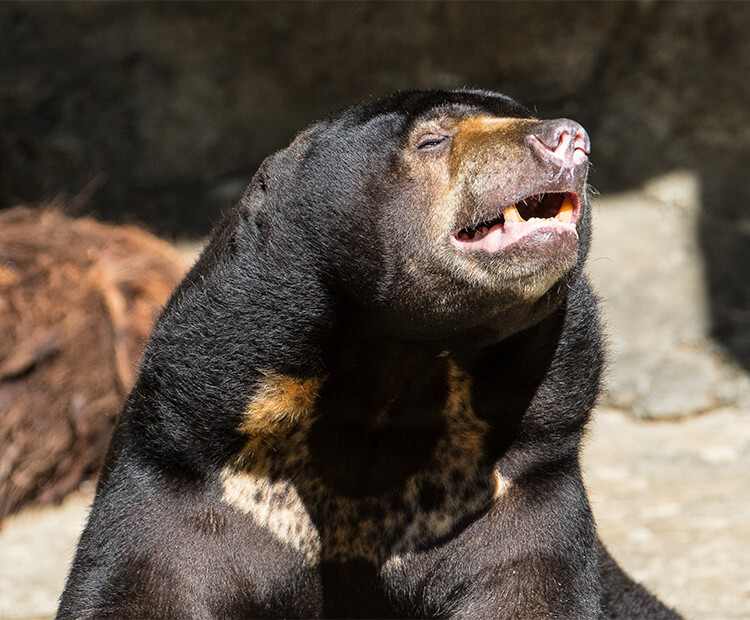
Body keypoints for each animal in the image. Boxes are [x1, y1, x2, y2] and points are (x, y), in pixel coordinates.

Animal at [57, 89, 680, 616]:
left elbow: (529, 585)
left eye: (529, 115)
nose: (568, 138)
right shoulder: (188, 465)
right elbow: (142, 582)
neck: (393, 367)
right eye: (432, 140)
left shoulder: (519, 478)